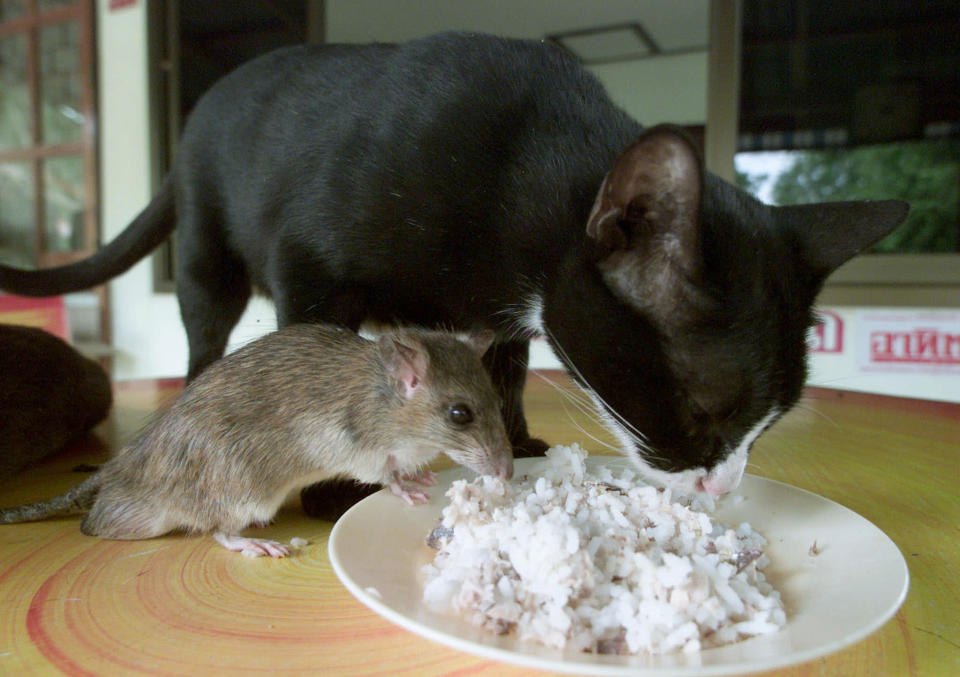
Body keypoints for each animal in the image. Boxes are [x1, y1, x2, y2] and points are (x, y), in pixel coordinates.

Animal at [0, 34, 908, 504]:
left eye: (771, 422)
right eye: (705, 407)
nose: (721, 484)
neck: (523, 168)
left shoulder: (501, 318)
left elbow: (503, 370)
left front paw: (519, 439)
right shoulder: (309, 262)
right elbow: (316, 358)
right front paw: (335, 481)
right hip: (207, 257)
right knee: (204, 336)